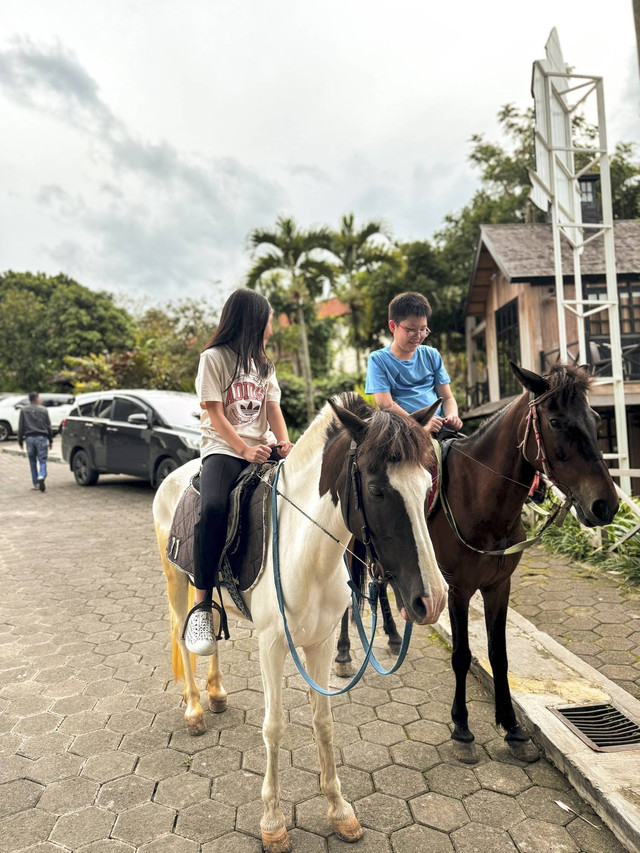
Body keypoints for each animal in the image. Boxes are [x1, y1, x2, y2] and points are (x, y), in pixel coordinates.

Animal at [152, 396, 448, 848]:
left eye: (428, 485)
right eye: (377, 490)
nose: (432, 599)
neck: (303, 547)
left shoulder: (322, 642)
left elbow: (323, 723)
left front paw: (339, 810)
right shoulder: (273, 644)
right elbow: (274, 727)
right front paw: (272, 822)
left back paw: (216, 694)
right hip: (176, 580)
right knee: (183, 636)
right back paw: (194, 709)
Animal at [336, 362, 620, 764]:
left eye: (595, 419)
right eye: (555, 421)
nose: (605, 505)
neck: (479, 499)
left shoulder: (499, 586)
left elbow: (498, 655)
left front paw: (513, 729)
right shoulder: (456, 588)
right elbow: (462, 654)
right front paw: (462, 728)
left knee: (380, 586)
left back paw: (391, 634)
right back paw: (344, 652)